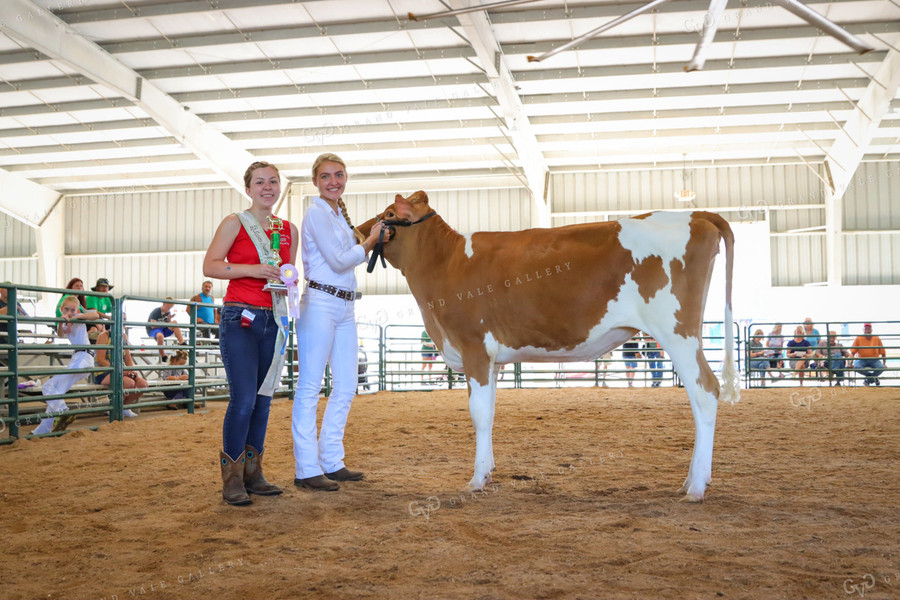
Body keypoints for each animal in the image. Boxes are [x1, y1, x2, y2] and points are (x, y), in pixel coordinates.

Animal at [358, 192, 740, 502]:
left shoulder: (474, 348)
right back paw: (692, 480)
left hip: (676, 332)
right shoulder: (492, 360)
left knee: (705, 391)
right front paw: (489, 471)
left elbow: (478, 414)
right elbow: (490, 413)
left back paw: (695, 487)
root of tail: (696, 215)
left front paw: (477, 480)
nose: (360, 231)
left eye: (388, 213)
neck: (445, 262)